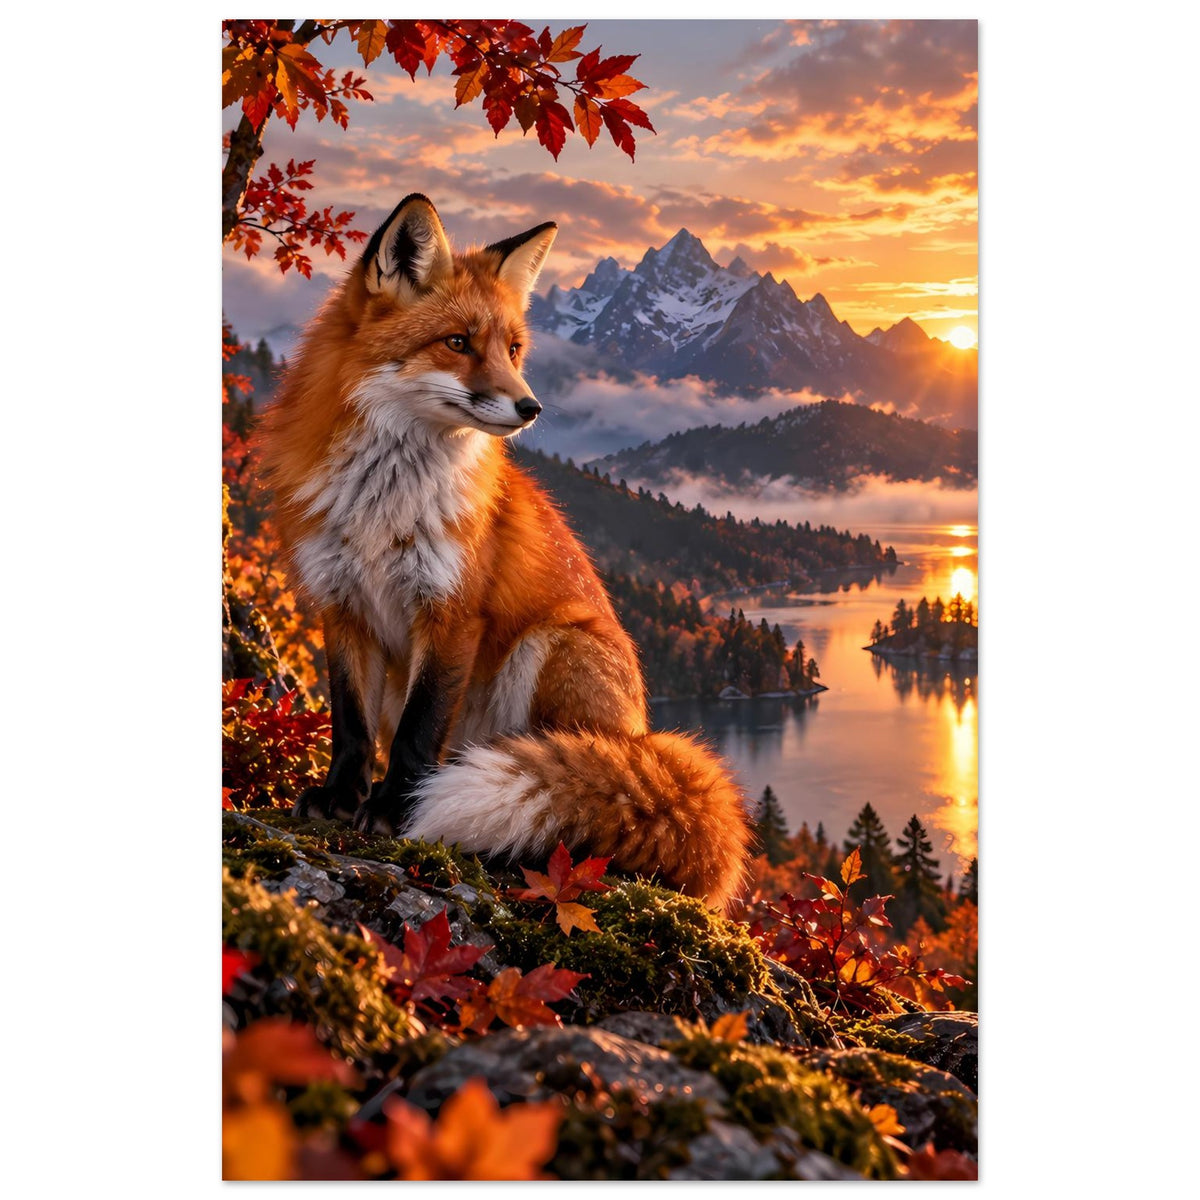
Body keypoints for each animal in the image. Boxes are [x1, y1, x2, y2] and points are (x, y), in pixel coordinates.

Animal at [259, 193, 752, 911]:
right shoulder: (341, 604)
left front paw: (395, 811)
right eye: (458, 342)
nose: (530, 406)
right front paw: (341, 799)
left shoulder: (452, 611)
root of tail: (642, 735)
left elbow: (417, 732)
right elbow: (351, 726)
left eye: (513, 348)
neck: (383, 505)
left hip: (550, 645)